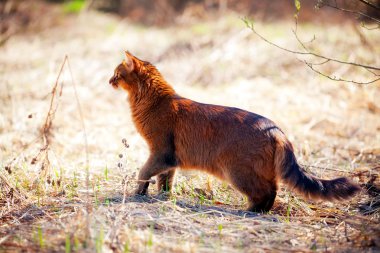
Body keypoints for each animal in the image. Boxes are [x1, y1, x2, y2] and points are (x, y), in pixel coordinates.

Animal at [108, 51, 360, 211]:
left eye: (117, 73)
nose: (109, 80)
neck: (154, 101)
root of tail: (276, 129)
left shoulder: (160, 151)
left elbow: (143, 171)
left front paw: (138, 193)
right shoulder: (170, 160)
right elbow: (165, 180)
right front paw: (163, 197)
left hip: (237, 171)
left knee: (267, 191)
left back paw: (250, 210)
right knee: (274, 187)